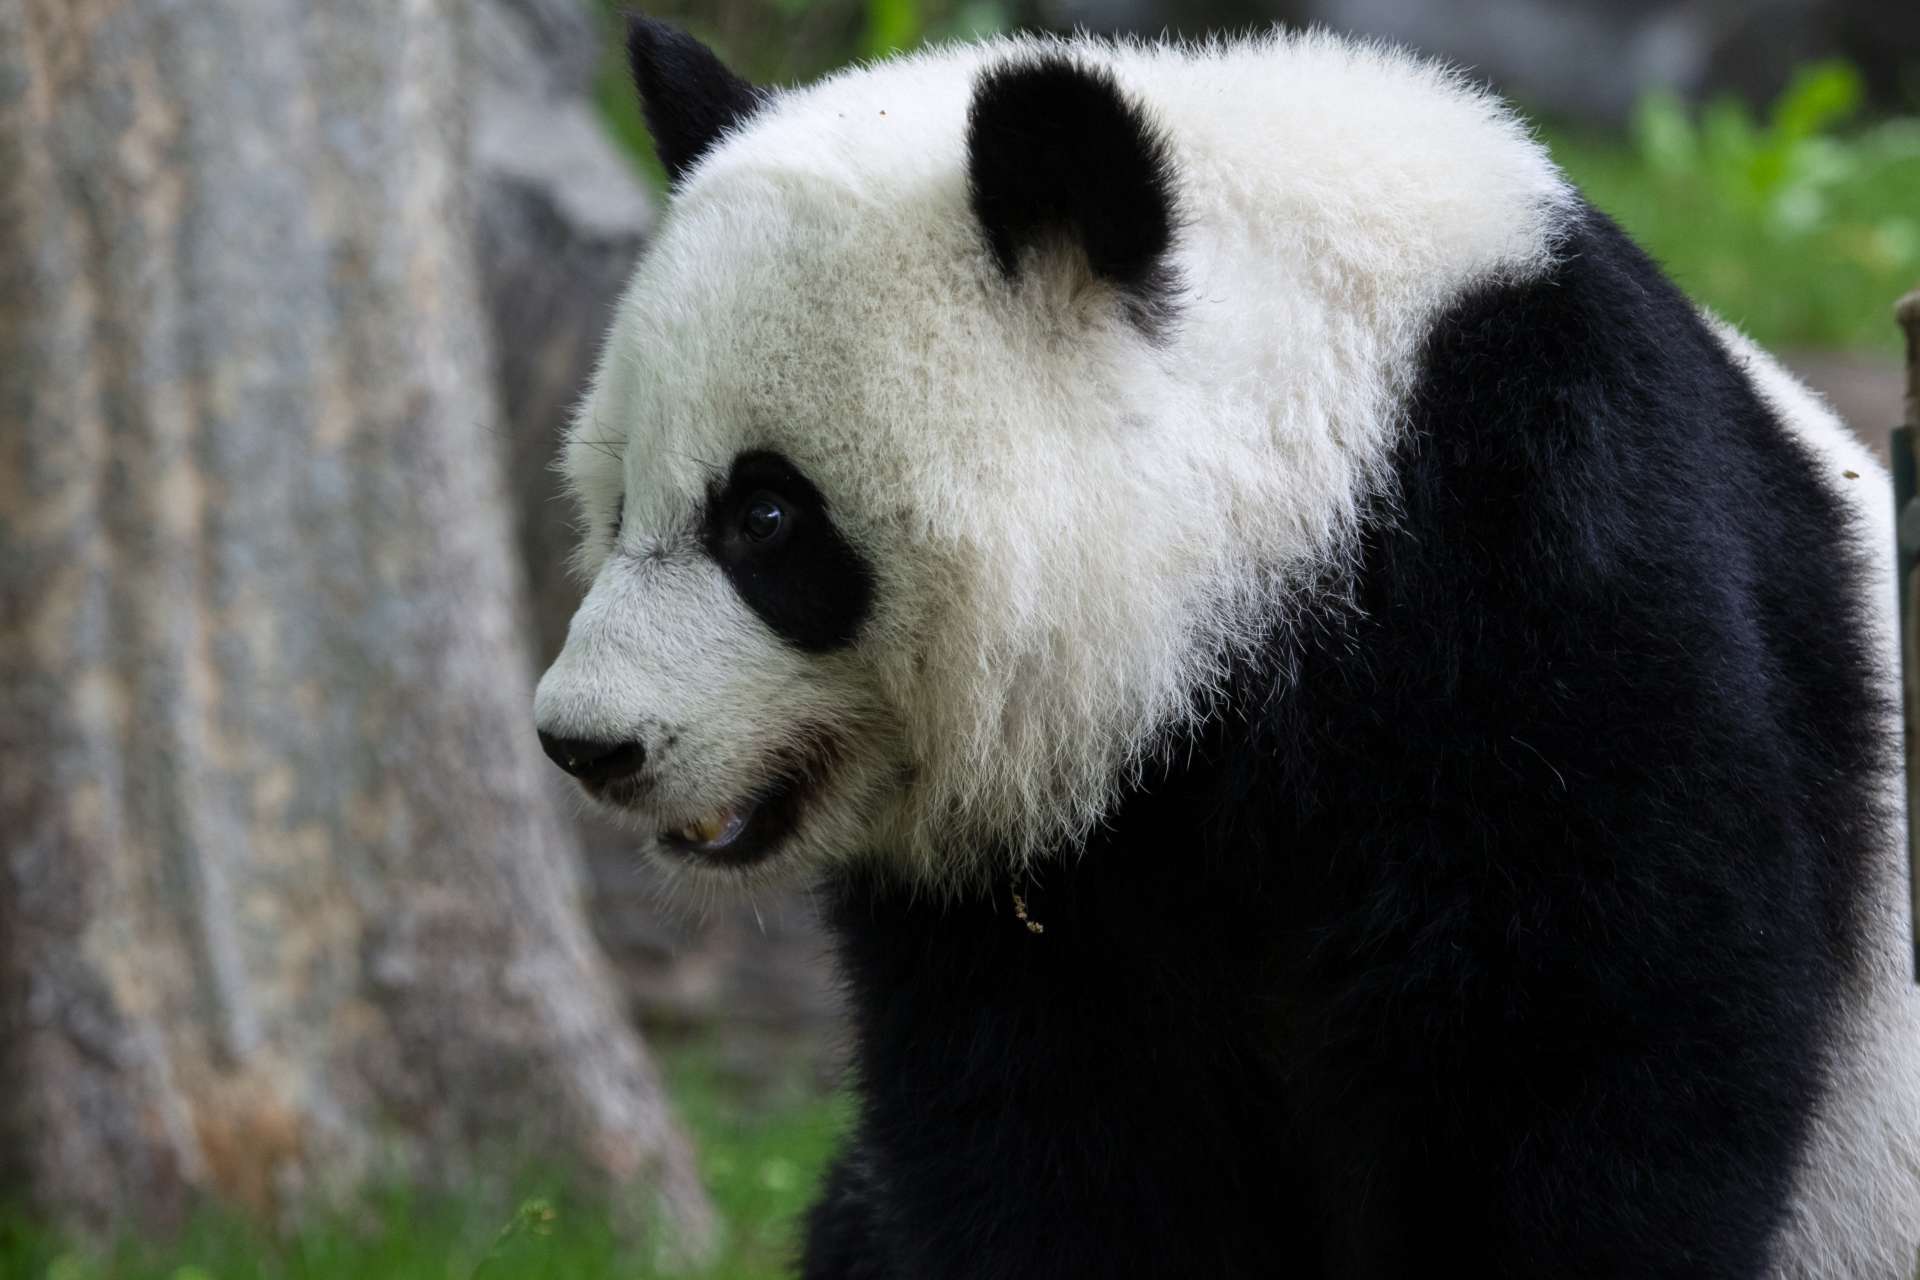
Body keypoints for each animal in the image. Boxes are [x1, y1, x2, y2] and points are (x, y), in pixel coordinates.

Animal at [532, 17, 1920, 1278]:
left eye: (764, 517)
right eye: (615, 503)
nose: (585, 742)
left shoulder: (1555, 569)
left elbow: (1599, 1065)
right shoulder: (1055, 875)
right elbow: (1044, 1131)